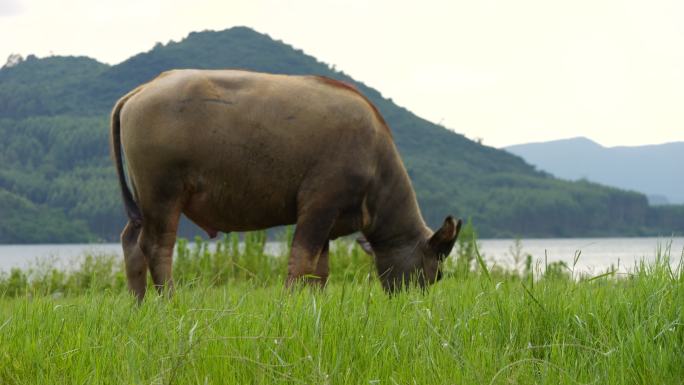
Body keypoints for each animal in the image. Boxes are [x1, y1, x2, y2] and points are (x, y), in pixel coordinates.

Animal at [112, 68, 462, 300]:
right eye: (438, 273)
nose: (415, 304)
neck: (375, 161)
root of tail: (144, 89)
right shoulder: (319, 206)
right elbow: (302, 261)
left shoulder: (329, 223)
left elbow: (319, 271)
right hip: (162, 195)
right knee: (156, 247)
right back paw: (168, 301)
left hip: (143, 203)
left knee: (131, 242)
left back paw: (138, 303)